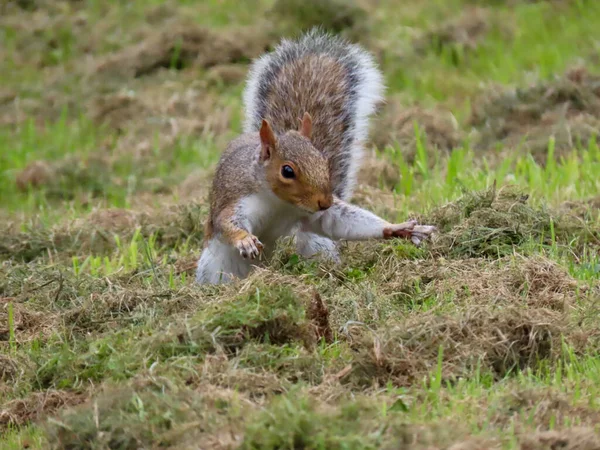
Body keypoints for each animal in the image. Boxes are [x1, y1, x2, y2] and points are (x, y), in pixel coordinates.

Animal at [197, 29, 436, 284]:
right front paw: (244, 239)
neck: (278, 202)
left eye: (324, 161)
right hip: (214, 265)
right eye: (287, 171)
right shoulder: (238, 198)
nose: (325, 202)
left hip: (314, 243)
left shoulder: (314, 215)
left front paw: (398, 228)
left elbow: (340, 222)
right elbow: (227, 222)